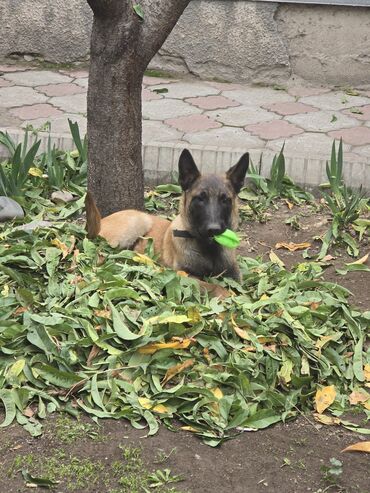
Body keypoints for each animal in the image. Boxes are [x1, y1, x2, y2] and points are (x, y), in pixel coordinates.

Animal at [85, 148, 250, 294]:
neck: (208, 249)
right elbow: (217, 287)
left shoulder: (235, 278)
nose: (214, 229)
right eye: (200, 198)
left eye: (225, 200)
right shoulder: (184, 275)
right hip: (136, 223)